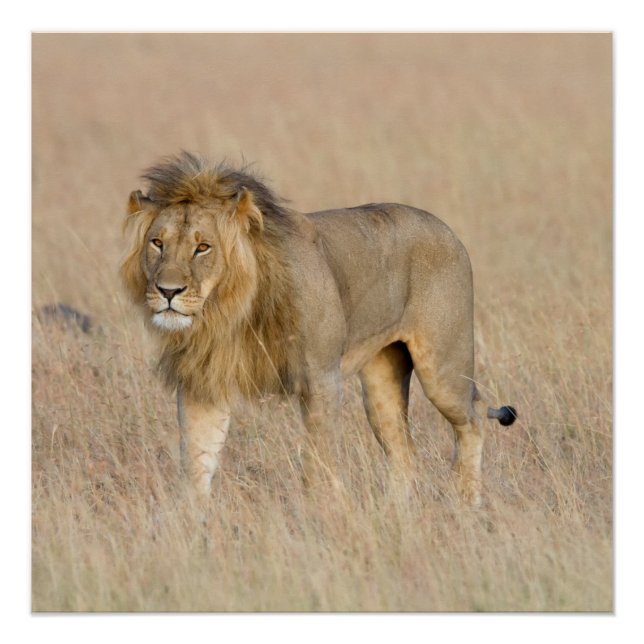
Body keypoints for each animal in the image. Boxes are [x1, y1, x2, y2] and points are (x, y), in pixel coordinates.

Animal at [120, 152, 516, 506]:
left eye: (203, 247)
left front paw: (324, 514)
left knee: (475, 415)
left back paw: (466, 503)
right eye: (157, 243)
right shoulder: (202, 382)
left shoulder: (322, 379)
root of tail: (444, 227)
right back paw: (396, 513)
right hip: (382, 382)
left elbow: (318, 462)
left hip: (443, 369)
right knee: (404, 452)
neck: (229, 311)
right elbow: (196, 463)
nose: (167, 291)